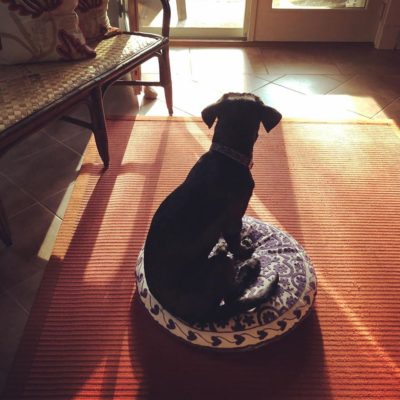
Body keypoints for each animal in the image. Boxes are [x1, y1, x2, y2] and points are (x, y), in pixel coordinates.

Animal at [144, 92, 282, 324]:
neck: (227, 155)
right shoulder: (234, 219)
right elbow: (236, 244)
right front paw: (245, 250)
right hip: (220, 267)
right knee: (232, 294)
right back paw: (249, 267)